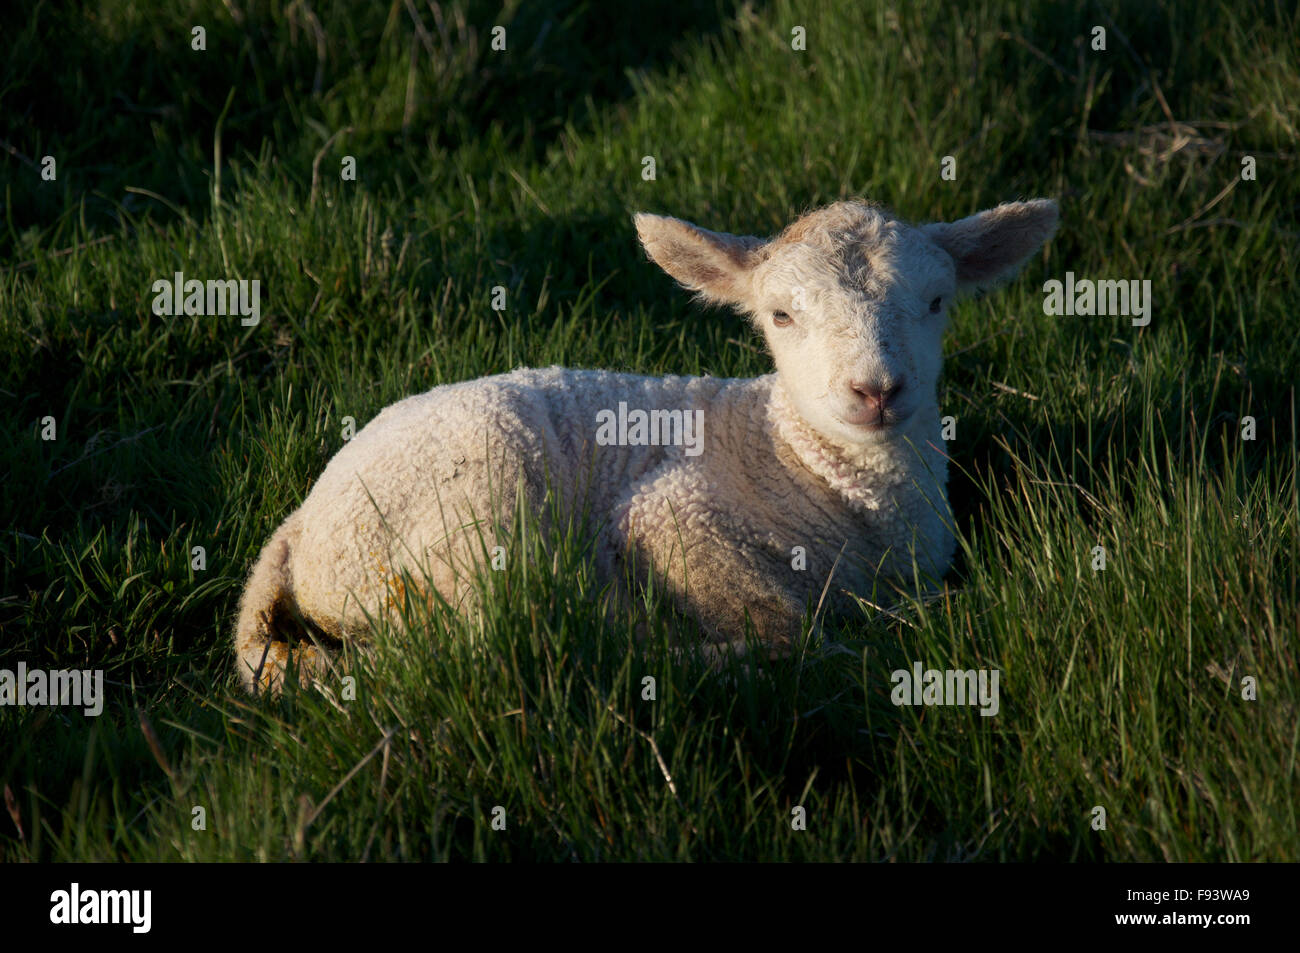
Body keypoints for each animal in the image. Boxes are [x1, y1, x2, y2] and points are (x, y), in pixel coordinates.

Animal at [233, 198, 1059, 693]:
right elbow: (788, 628)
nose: (876, 390)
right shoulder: (670, 512)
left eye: (937, 302)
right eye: (782, 315)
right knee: (486, 639)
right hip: (472, 501)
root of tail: (299, 528)